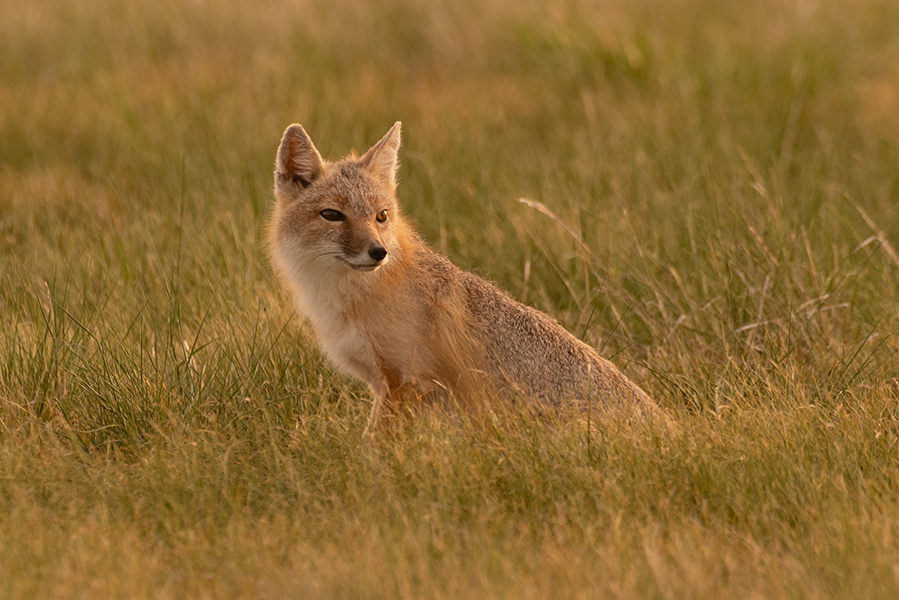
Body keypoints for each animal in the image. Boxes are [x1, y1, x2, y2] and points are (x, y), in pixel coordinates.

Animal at [268, 120, 652, 432]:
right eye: (332, 215)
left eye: (381, 216)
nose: (379, 252)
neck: (350, 298)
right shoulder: (388, 385)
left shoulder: (404, 383)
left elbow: (372, 447)